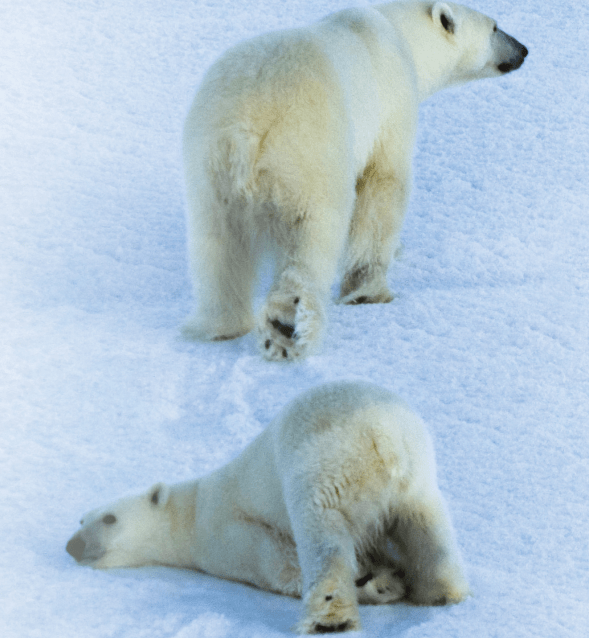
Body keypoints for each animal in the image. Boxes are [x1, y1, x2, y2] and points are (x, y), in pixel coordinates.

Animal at [66, 380, 466, 636]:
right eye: (80, 518)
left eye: (109, 518)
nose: (73, 545)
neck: (190, 513)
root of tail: (381, 435)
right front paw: (385, 578)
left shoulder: (227, 532)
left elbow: (276, 562)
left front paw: (376, 581)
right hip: (417, 472)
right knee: (427, 526)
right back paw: (442, 591)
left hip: (325, 465)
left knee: (322, 536)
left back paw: (327, 620)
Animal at [181, 0, 524, 360]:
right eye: (495, 26)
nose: (524, 50)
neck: (399, 32)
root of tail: (244, 130)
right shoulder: (392, 102)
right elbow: (383, 185)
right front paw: (370, 292)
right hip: (306, 156)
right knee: (311, 235)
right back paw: (287, 325)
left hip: (208, 167)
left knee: (218, 245)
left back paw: (222, 326)